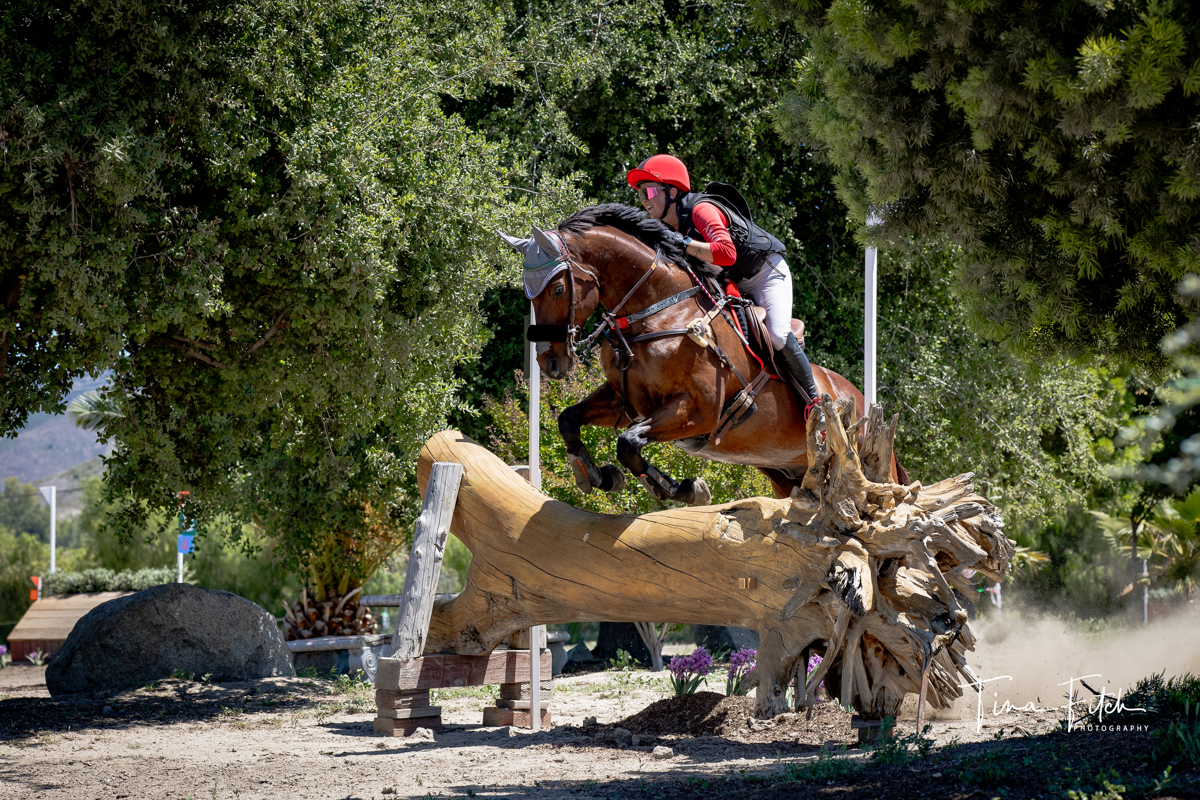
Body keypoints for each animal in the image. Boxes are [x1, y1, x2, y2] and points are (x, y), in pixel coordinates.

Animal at [503, 204, 902, 504]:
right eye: (527, 291)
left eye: (557, 288)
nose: (550, 362)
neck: (658, 309)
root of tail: (858, 397)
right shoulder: (625, 400)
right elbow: (570, 420)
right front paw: (596, 476)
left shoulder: (700, 410)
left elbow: (628, 442)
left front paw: (683, 490)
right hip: (787, 474)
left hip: (861, 456)